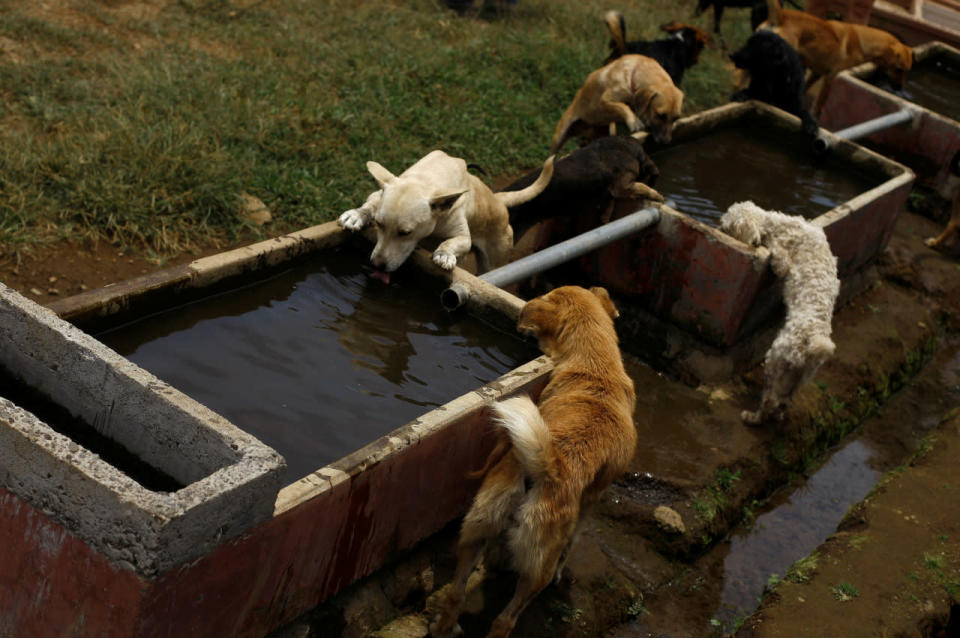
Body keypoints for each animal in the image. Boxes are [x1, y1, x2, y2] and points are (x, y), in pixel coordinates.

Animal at [428, 288, 636, 638]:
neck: (595, 364)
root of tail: (546, 468)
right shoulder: (592, 501)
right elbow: (572, 543)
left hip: (477, 530)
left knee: (456, 595)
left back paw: (446, 626)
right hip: (537, 569)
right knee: (505, 620)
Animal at [548, 54, 684, 154]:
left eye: (675, 118)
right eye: (660, 115)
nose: (666, 142)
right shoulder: (605, 100)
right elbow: (622, 106)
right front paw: (633, 120)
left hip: (607, 131)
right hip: (558, 137)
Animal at [724, 202, 836, 428]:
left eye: (727, 223)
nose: (719, 227)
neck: (777, 224)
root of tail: (813, 343)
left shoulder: (783, 261)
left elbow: (778, 258)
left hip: (776, 358)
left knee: (770, 399)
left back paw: (752, 417)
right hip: (799, 376)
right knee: (783, 401)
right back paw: (778, 416)